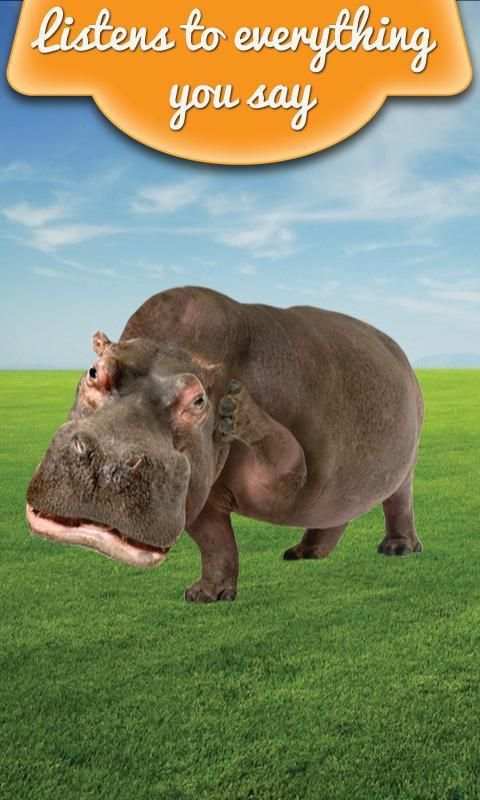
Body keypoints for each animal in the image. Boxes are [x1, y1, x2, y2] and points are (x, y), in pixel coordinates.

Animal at [26, 286, 423, 602]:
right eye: (94, 370)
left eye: (198, 400)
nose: (108, 464)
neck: (180, 348)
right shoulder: (199, 495)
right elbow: (216, 543)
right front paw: (206, 595)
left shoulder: (280, 480)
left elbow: (291, 462)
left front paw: (237, 407)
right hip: (340, 486)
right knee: (333, 513)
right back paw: (303, 553)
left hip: (405, 466)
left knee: (398, 501)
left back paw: (397, 548)